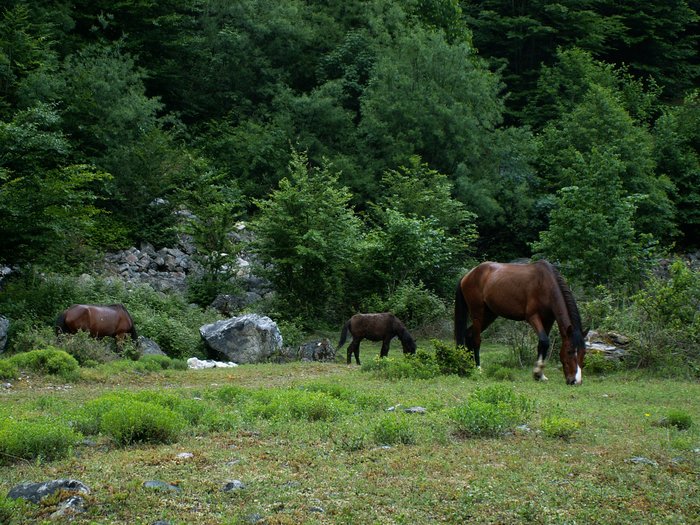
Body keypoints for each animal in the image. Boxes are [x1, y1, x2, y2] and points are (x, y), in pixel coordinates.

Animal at [456, 260, 588, 382]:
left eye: (584, 352)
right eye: (569, 351)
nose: (576, 381)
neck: (546, 284)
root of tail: (468, 275)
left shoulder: (548, 320)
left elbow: (542, 344)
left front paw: (540, 375)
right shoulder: (533, 317)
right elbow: (545, 341)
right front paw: (537, 371)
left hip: (489, 315)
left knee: (468, 334)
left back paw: (468, 365)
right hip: (478, 313)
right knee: (476, 339)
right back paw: (478, 368)